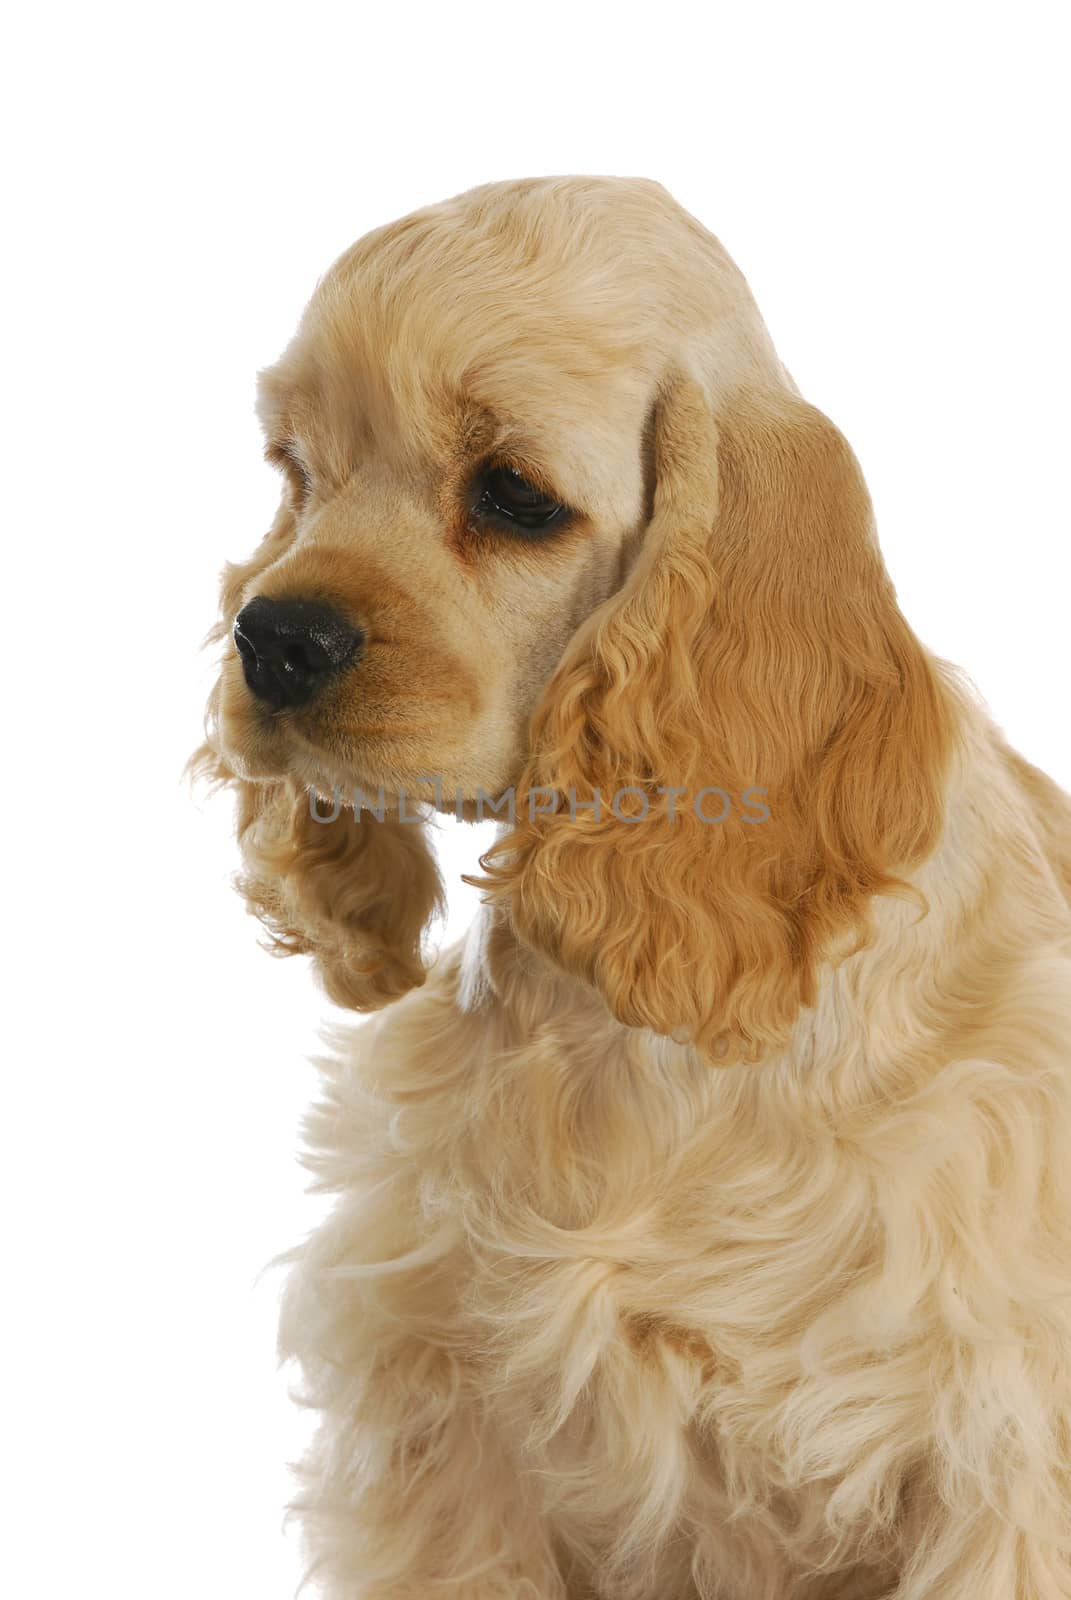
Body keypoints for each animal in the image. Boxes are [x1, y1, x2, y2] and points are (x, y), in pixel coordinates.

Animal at [192, 175, 1069, 1600]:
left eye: (514, 494)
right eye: (296, 472)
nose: (267, 636)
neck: (628, 1041)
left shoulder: (995, 1448)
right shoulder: (449, 1421)